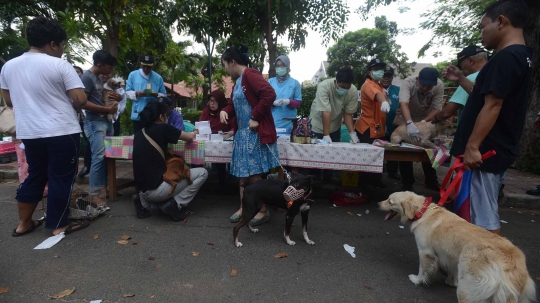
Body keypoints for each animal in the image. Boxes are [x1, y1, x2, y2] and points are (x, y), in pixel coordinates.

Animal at [380, 192, 536, 303]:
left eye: (389, 201)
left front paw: (417, 280)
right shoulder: (451, 256)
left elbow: (422, 270)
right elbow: (451, 270)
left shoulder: (425, 252)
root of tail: (510, 264)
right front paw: (450, 281)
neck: (422, 211)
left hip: (467, 288)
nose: (378, 203)